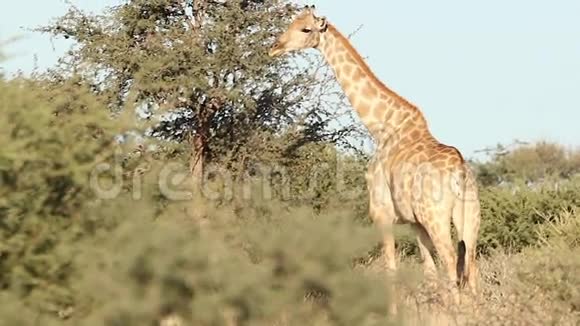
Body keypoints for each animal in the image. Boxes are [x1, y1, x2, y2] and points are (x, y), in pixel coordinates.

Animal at [270, 4, 482, 310]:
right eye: (290, 24)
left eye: (305, 29)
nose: (274, 47)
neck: (382, 126)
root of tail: (460, 173)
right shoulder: (415, 223)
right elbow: (428, 271)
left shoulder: (381, 212)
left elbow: (391, 268)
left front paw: (393, 313)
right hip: (469, 215)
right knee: (471, 263)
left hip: (437, 217)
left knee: (452, 259)